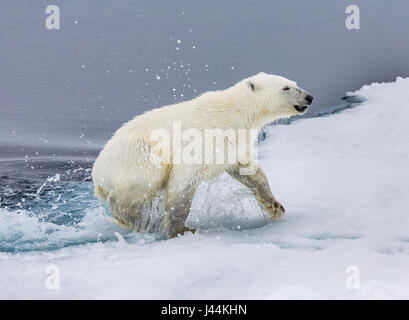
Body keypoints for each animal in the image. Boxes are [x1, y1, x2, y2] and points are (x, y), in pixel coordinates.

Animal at [91, 72, 310, 238]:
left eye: (295, 83)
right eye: (286, 88)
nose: (309, 97)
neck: (233, 113)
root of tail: (96, 175)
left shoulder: (231, 143)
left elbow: (248, 171)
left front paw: (275, 206)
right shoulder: (201, 138)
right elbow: (183, 183)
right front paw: (180, 230)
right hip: (135, 155)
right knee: (141, 180)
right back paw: (135, 219)